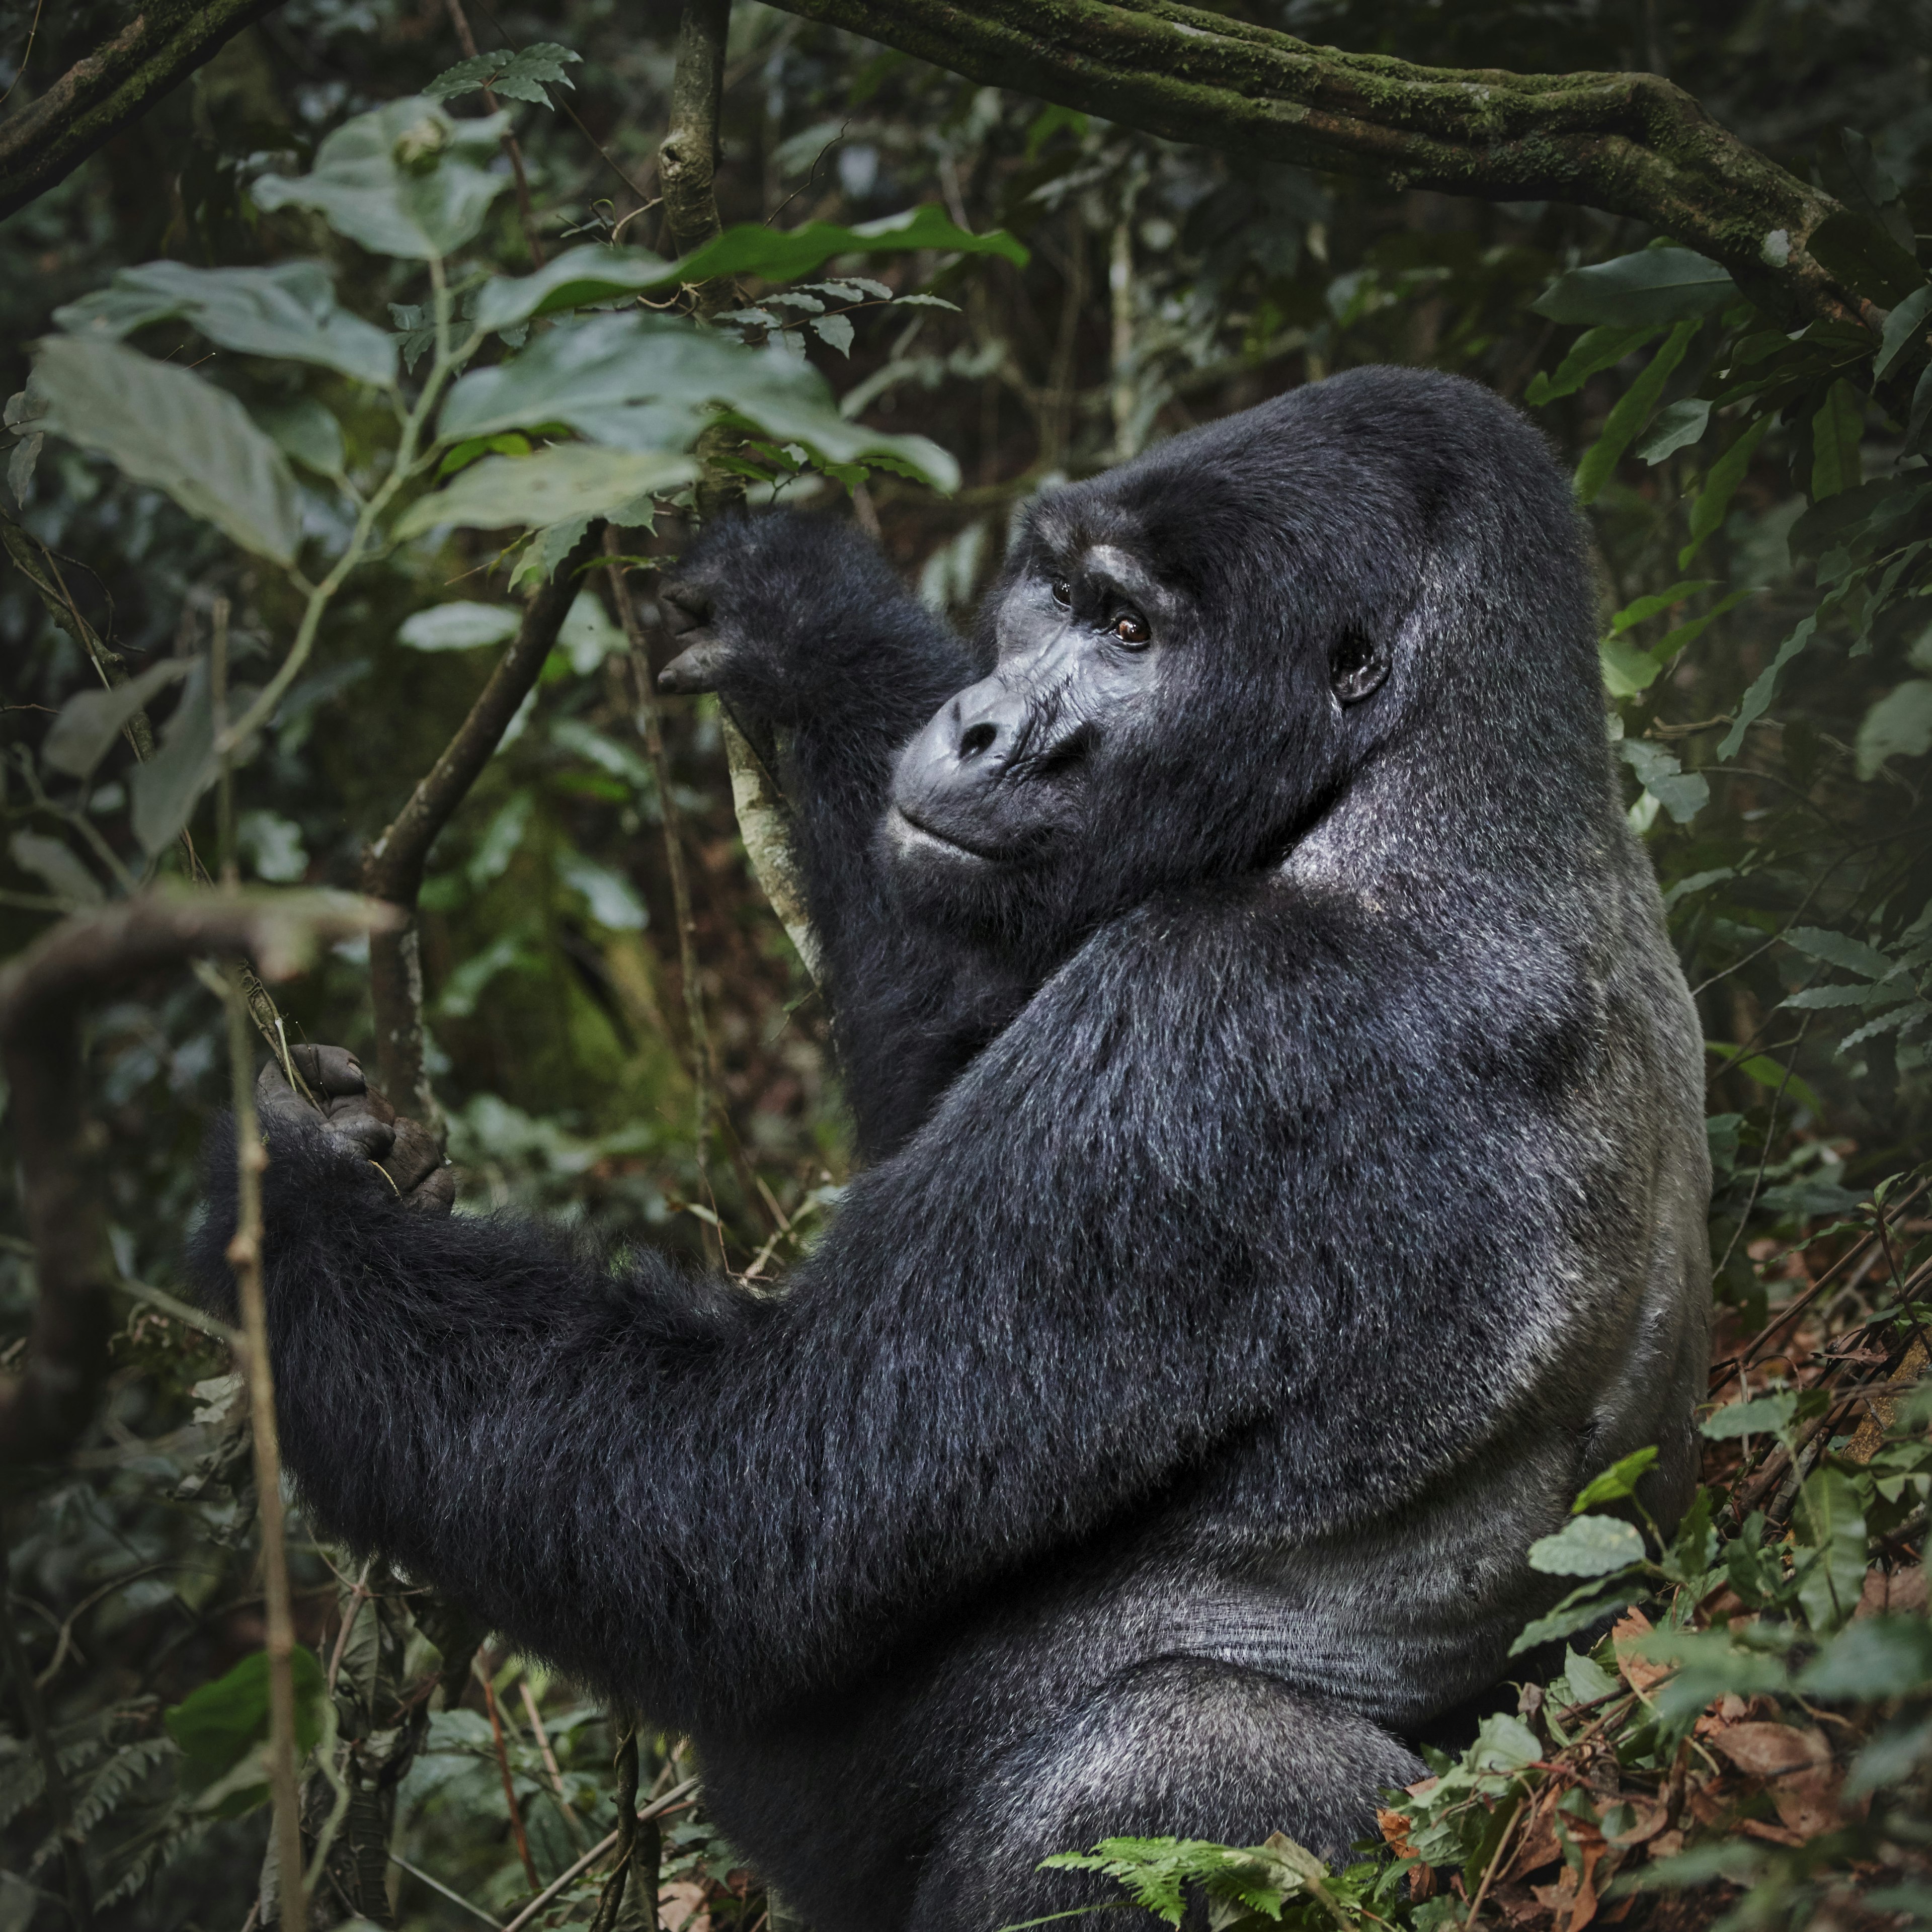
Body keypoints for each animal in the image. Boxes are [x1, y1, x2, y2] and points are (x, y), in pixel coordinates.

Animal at [192, 365, 1708, 1932]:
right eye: (1058, 594)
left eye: (1131, 633)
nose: (982, 727)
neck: (1425, 779)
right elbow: (940, 1053)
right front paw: (799, 615)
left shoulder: (1220, 1025)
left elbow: (741, 1498)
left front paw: (283, 1209)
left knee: (1181, 1762)